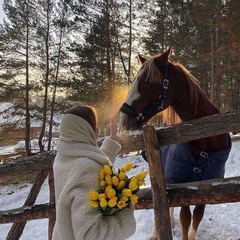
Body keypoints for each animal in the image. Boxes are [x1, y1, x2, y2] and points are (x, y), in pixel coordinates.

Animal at [119, 48, 232, 240]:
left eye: (147, 81)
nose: (123, 119)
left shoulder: (206, 184)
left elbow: (197, 217)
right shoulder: (183, 182)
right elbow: (185, 218)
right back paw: (156, 232)